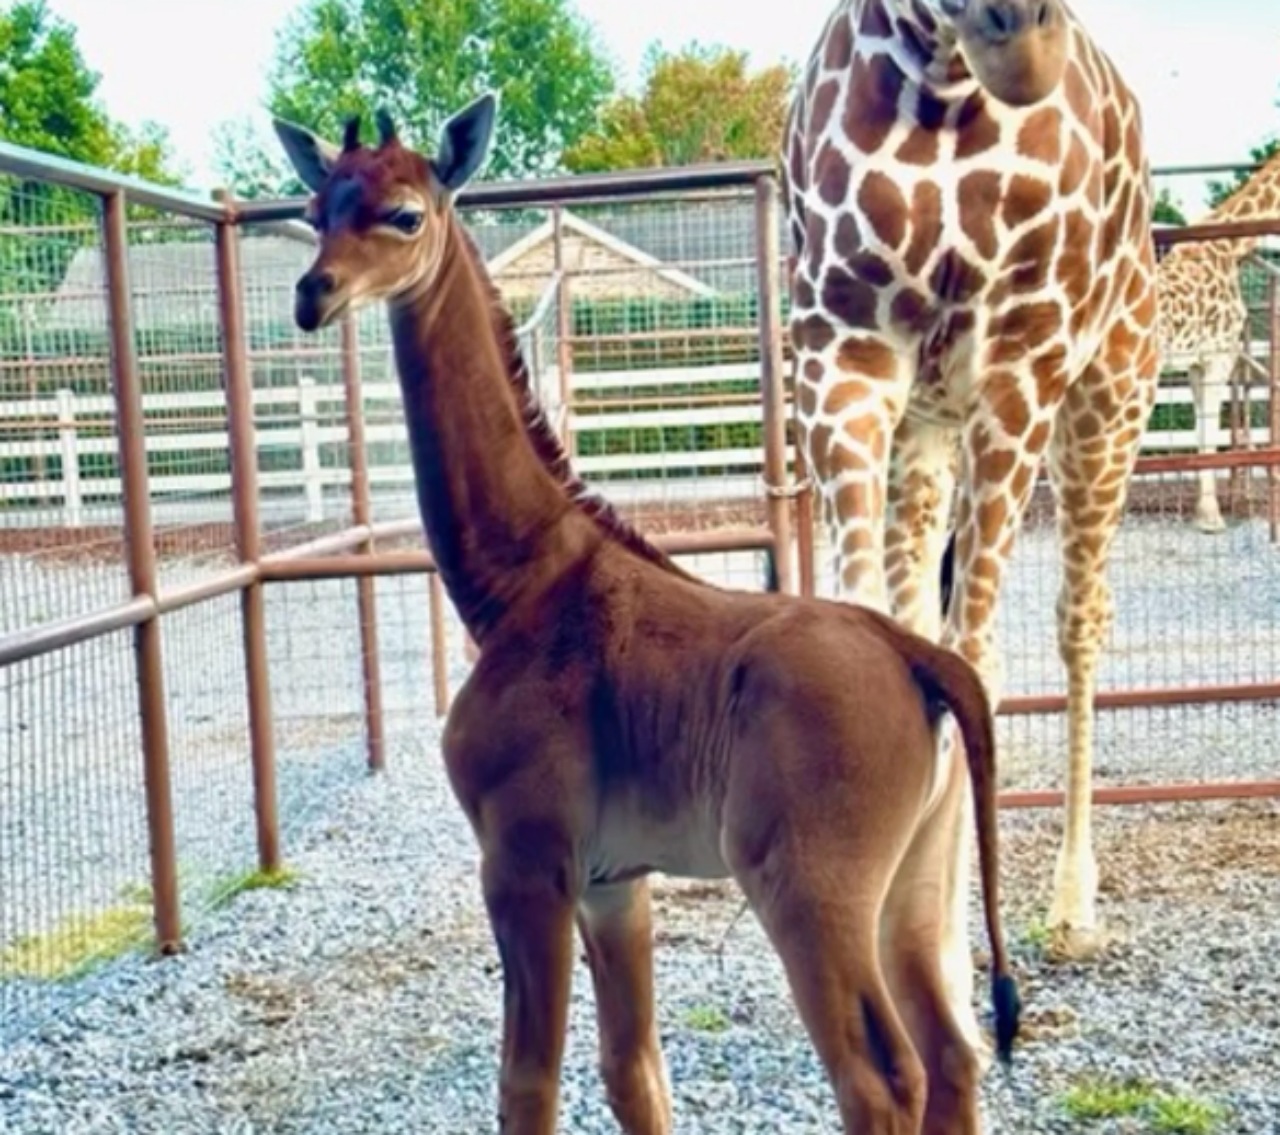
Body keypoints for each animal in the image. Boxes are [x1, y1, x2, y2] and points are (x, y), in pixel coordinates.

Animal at [275, 95, 1013, 1135]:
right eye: (316, 207)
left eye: (405, 214)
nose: (315, 293)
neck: (518, 583)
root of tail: (921, 658)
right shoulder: (613, 882)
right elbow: (636, 1074)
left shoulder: (525, 860)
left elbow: (528, 1085)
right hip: (917, 878)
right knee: (953, 1056)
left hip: (808, 888)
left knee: (883, 1077)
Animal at [778, 0, 1162, 1049]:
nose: (1024, 35)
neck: (942, 90)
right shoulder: (842, 355)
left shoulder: (1021, 364)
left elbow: (977, 666)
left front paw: (958, 983)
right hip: (928, 430)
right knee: (920, 621)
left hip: (1109, 396)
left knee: (1080, 622)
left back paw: (1074, 905)